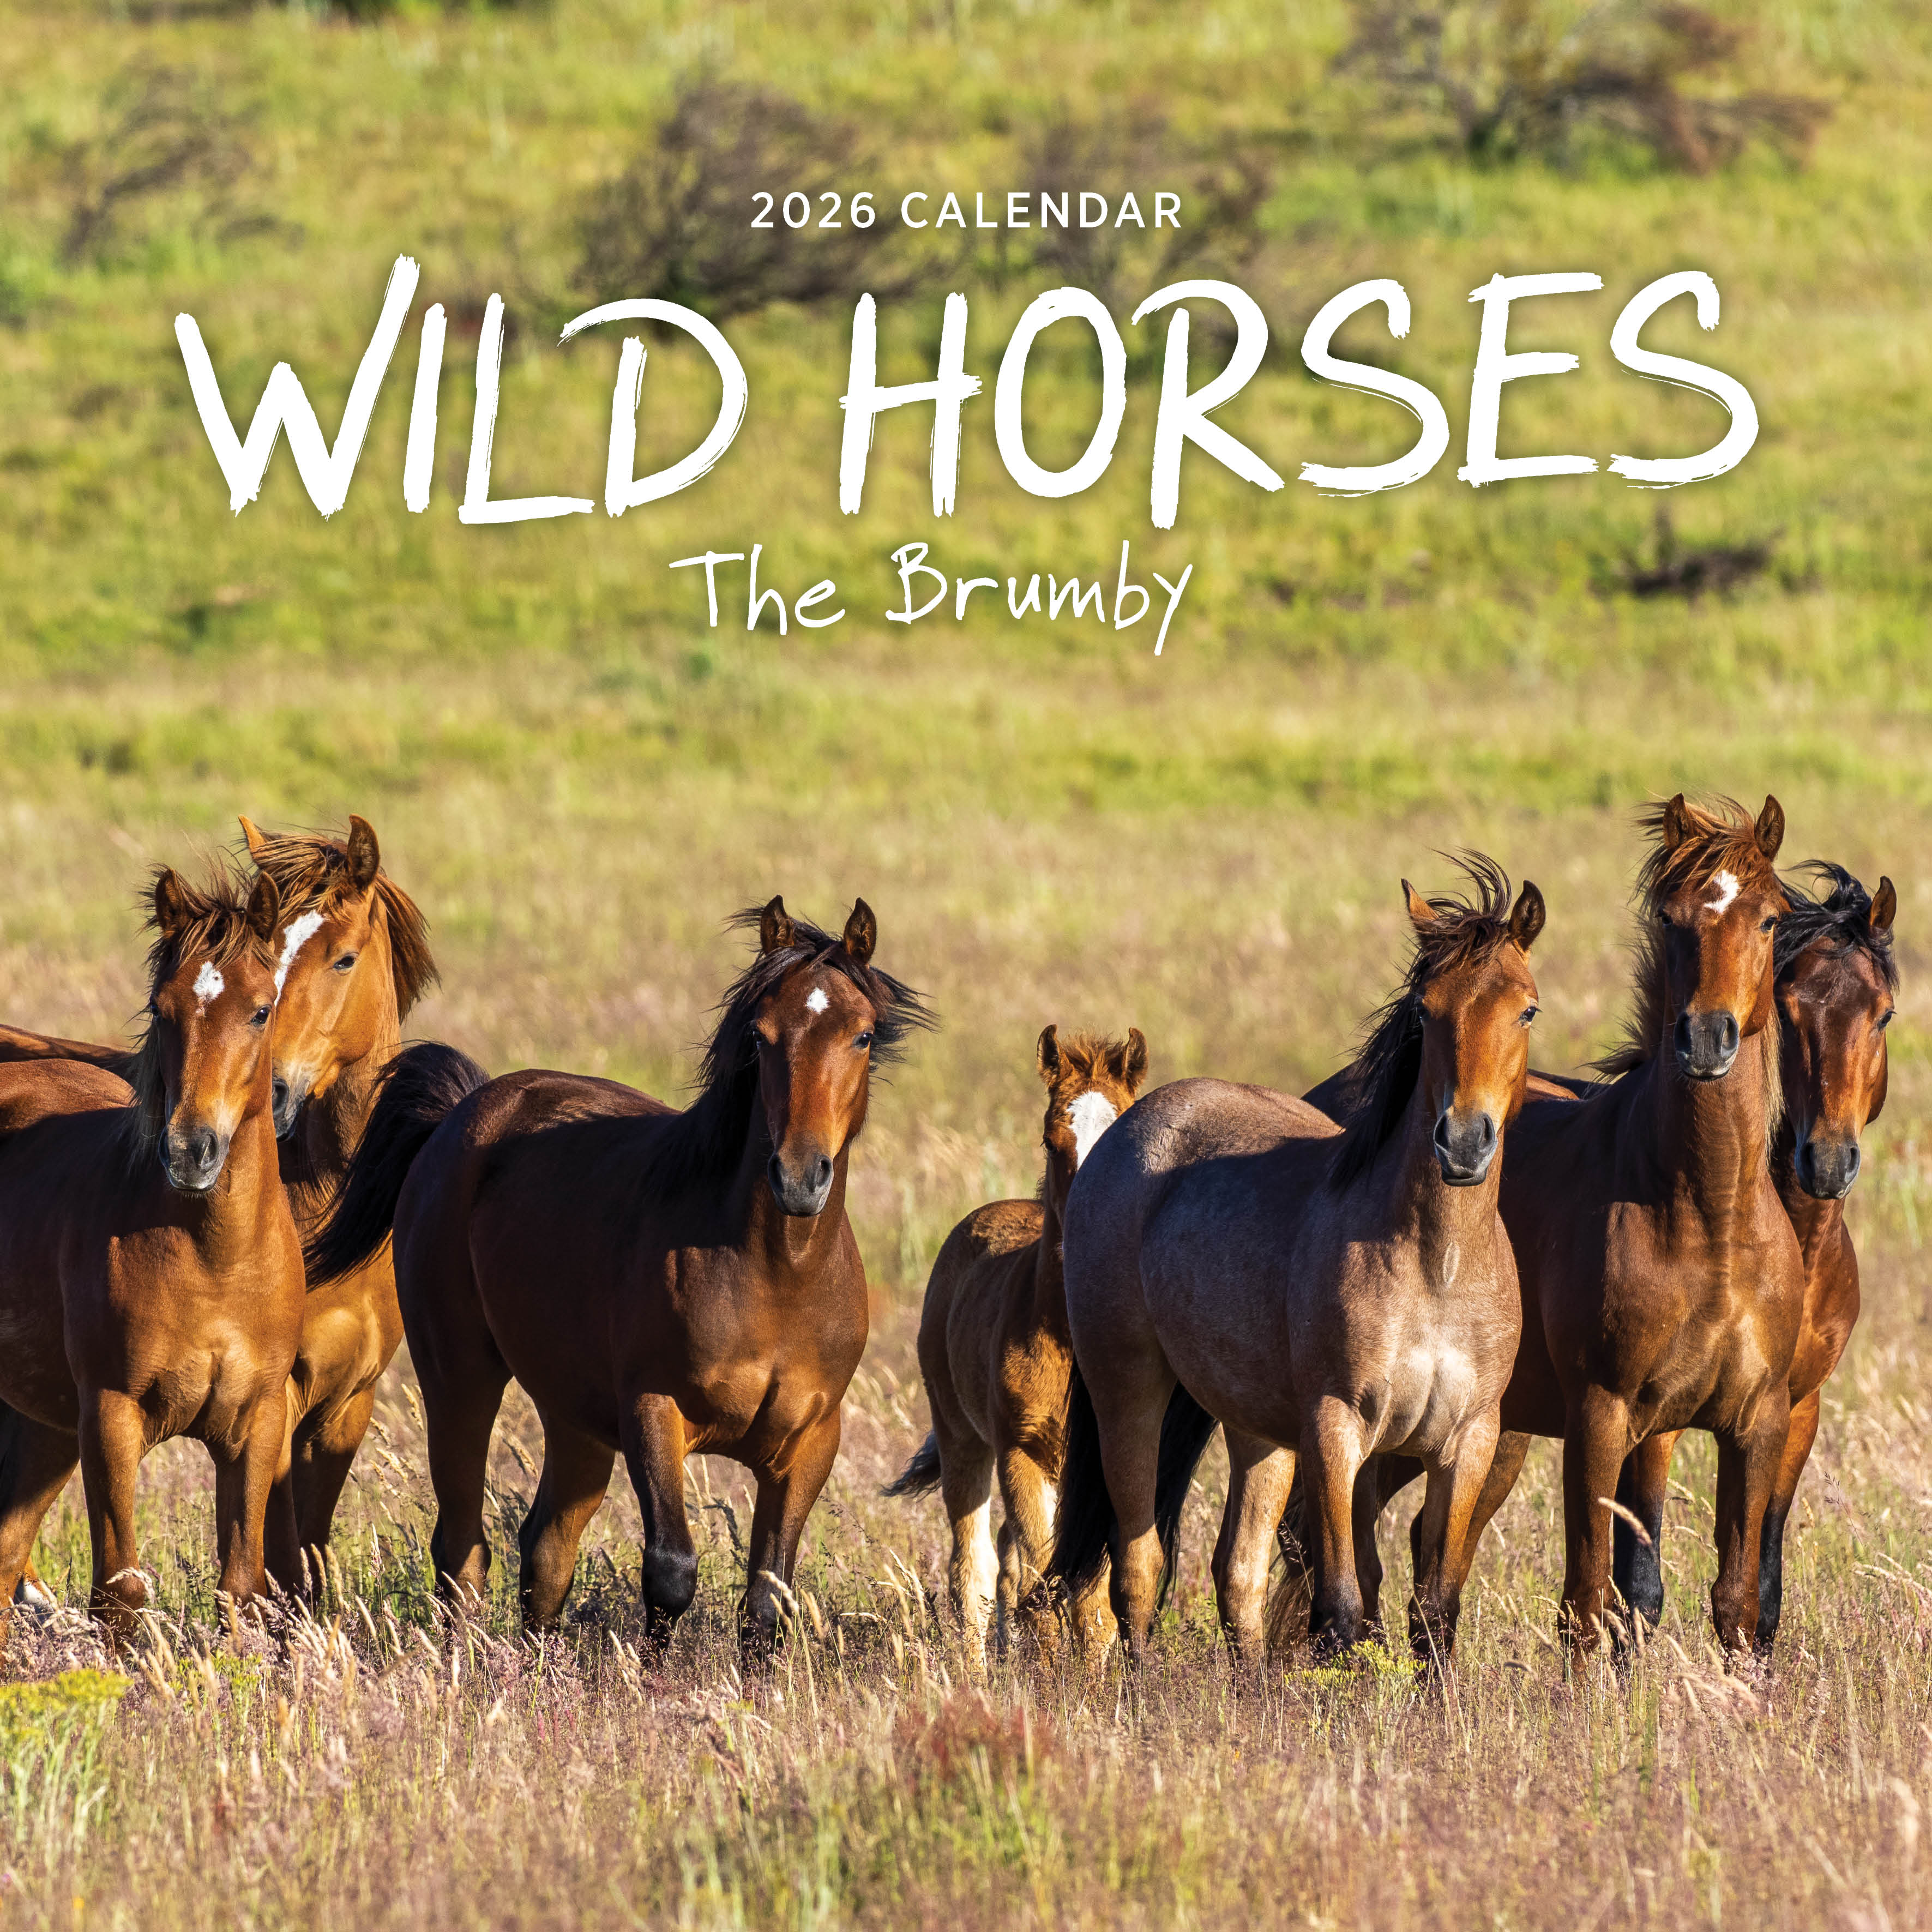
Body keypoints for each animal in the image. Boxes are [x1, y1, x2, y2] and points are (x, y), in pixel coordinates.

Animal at [0, 866, 305, 1650]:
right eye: (162, 1010)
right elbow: (122, 1593)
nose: (191, 1150)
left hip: (45, 1428)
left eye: (261, 1011)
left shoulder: (257, 1423)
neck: (214, 1260)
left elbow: (241, 1588)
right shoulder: (112, 1417)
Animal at [307, 897, 932, 1657]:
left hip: (572, 1415)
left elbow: (767, 1600)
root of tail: (463, 1111)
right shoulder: (653, 1412)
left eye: (863, 1036)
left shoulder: (811, 1443)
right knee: (462, 1548)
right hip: (459, 1378)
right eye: (760, 1037)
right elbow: (671, 1571)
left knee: (546, 1549)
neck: (776, 1276)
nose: (798, 1176)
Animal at [886, 1024, 1147, 1666]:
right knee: (975, 1568)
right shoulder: (1021, 1450)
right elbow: (1044, 1580)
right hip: (962, 1437)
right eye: (1051, 1142)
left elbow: (1090, 1597)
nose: (1084, 1244)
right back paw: (977, 1674)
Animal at [1048, 857, 1544, 1664]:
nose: (1464, 1141)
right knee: (1138, 1564)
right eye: (1424, 1011)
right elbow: (1340, 1610)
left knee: (1237, 1572)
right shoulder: (1335, 1430)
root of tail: (1128, 1131)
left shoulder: (1466, 1442)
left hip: (1257, 1429)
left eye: (1525, 1009)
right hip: (1129, 1390)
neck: (1435, 1266)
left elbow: (1433, 1613)